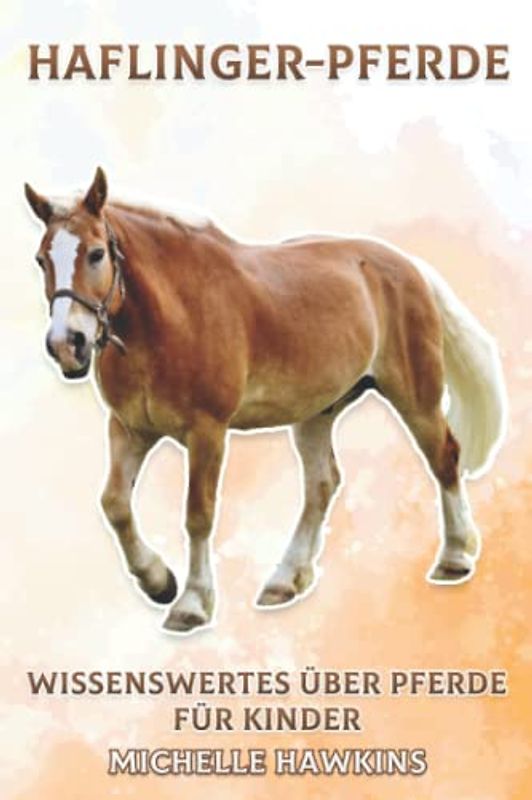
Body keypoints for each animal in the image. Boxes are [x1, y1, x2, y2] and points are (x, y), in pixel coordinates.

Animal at [25, 168, 506, 633]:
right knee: (322, 485)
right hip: (317, 412)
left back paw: (455, 558)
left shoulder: (207, 431)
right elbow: (115, 505)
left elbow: (198, 514)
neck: (170, 315)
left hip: (415, 395)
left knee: (444, 457)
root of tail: (410, 266)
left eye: (95, 253)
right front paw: (159, 581)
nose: (67, 344)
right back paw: (285, 581)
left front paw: (192, 603)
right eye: (42, 259)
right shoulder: (130, 429)